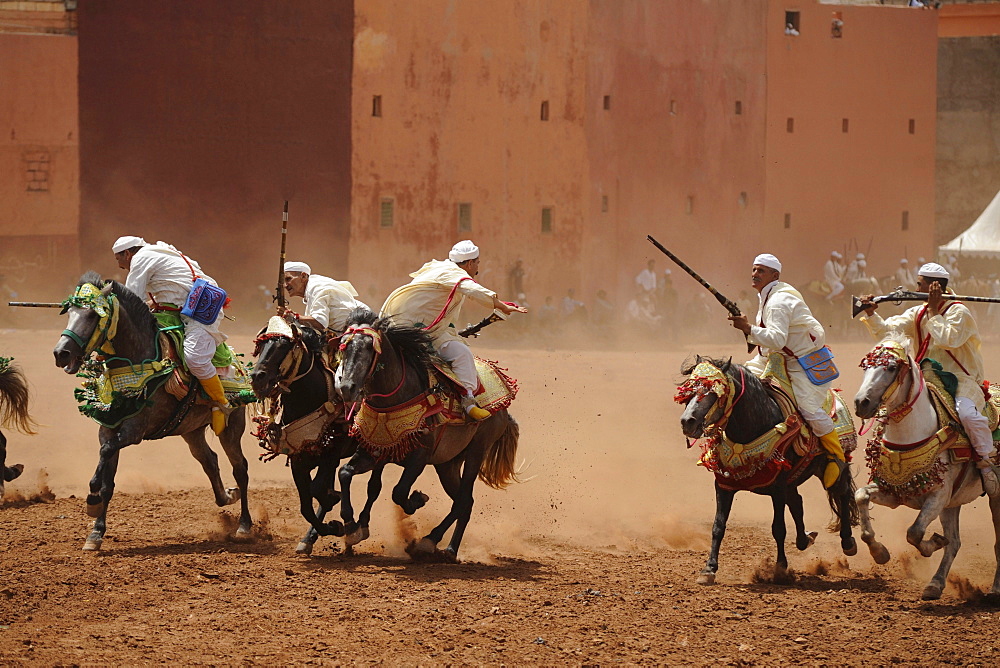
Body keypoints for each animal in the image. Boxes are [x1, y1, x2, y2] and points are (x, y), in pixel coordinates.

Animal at [53, 270, 254, 548]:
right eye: (69, 311)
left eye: (94, 315)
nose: (61, 353)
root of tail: (237, 363)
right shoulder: (109, 427)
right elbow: (107, 479)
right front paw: (96, 532)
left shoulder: (134, 431)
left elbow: (105, 457)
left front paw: (92, 500)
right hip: (191, 430)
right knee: (210, 461)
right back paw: (227, 496)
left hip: (231, 427)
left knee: (240, 469)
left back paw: (244, 525)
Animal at [252, 314, 384, 552]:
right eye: (261, 345)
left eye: (283, 346)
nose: (257, 377)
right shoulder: (298, 459)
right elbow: (306, 504)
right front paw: (328, 527)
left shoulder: (330, 456)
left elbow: (318, 490)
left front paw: (337, 519)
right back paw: (312, 536)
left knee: (374, 487)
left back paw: (358, 525)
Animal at [336, 314, 524, 564]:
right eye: (344, 346)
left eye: (369, 347)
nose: (346, 387)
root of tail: (504, 407)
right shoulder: (374, 451)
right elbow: (346, 473)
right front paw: (351, 527)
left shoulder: (420, 457)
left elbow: (398, 492)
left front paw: (417, 499)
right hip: (448, 464)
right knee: (465, 502)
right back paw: (446, 547)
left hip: (477, 451)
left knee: (462, 500)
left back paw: (433, 542)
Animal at [676, 358, 856, 580]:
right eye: (690, 390)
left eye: (715, 392)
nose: (687, 422)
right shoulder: (724, 486)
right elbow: (718, 526)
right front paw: (709, 569)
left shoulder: (777, 488)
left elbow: (778, 528)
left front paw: (780, 568)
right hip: (792, 481)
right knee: (797, 502)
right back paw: (805, 539)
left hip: (831, 467)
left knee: (842, 493)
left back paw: (848, 542)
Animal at [852, 334, 1000, 600]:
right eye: (865, 367)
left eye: (891, 367)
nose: (862, 403)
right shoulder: (895, 494)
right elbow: (861, 497)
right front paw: (880, 553)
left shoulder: (937, 497)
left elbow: (914, 532)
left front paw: (933, 544)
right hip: (953, 504)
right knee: (956, 542)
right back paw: (935, 583)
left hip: (994, 498)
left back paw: (994, 589)